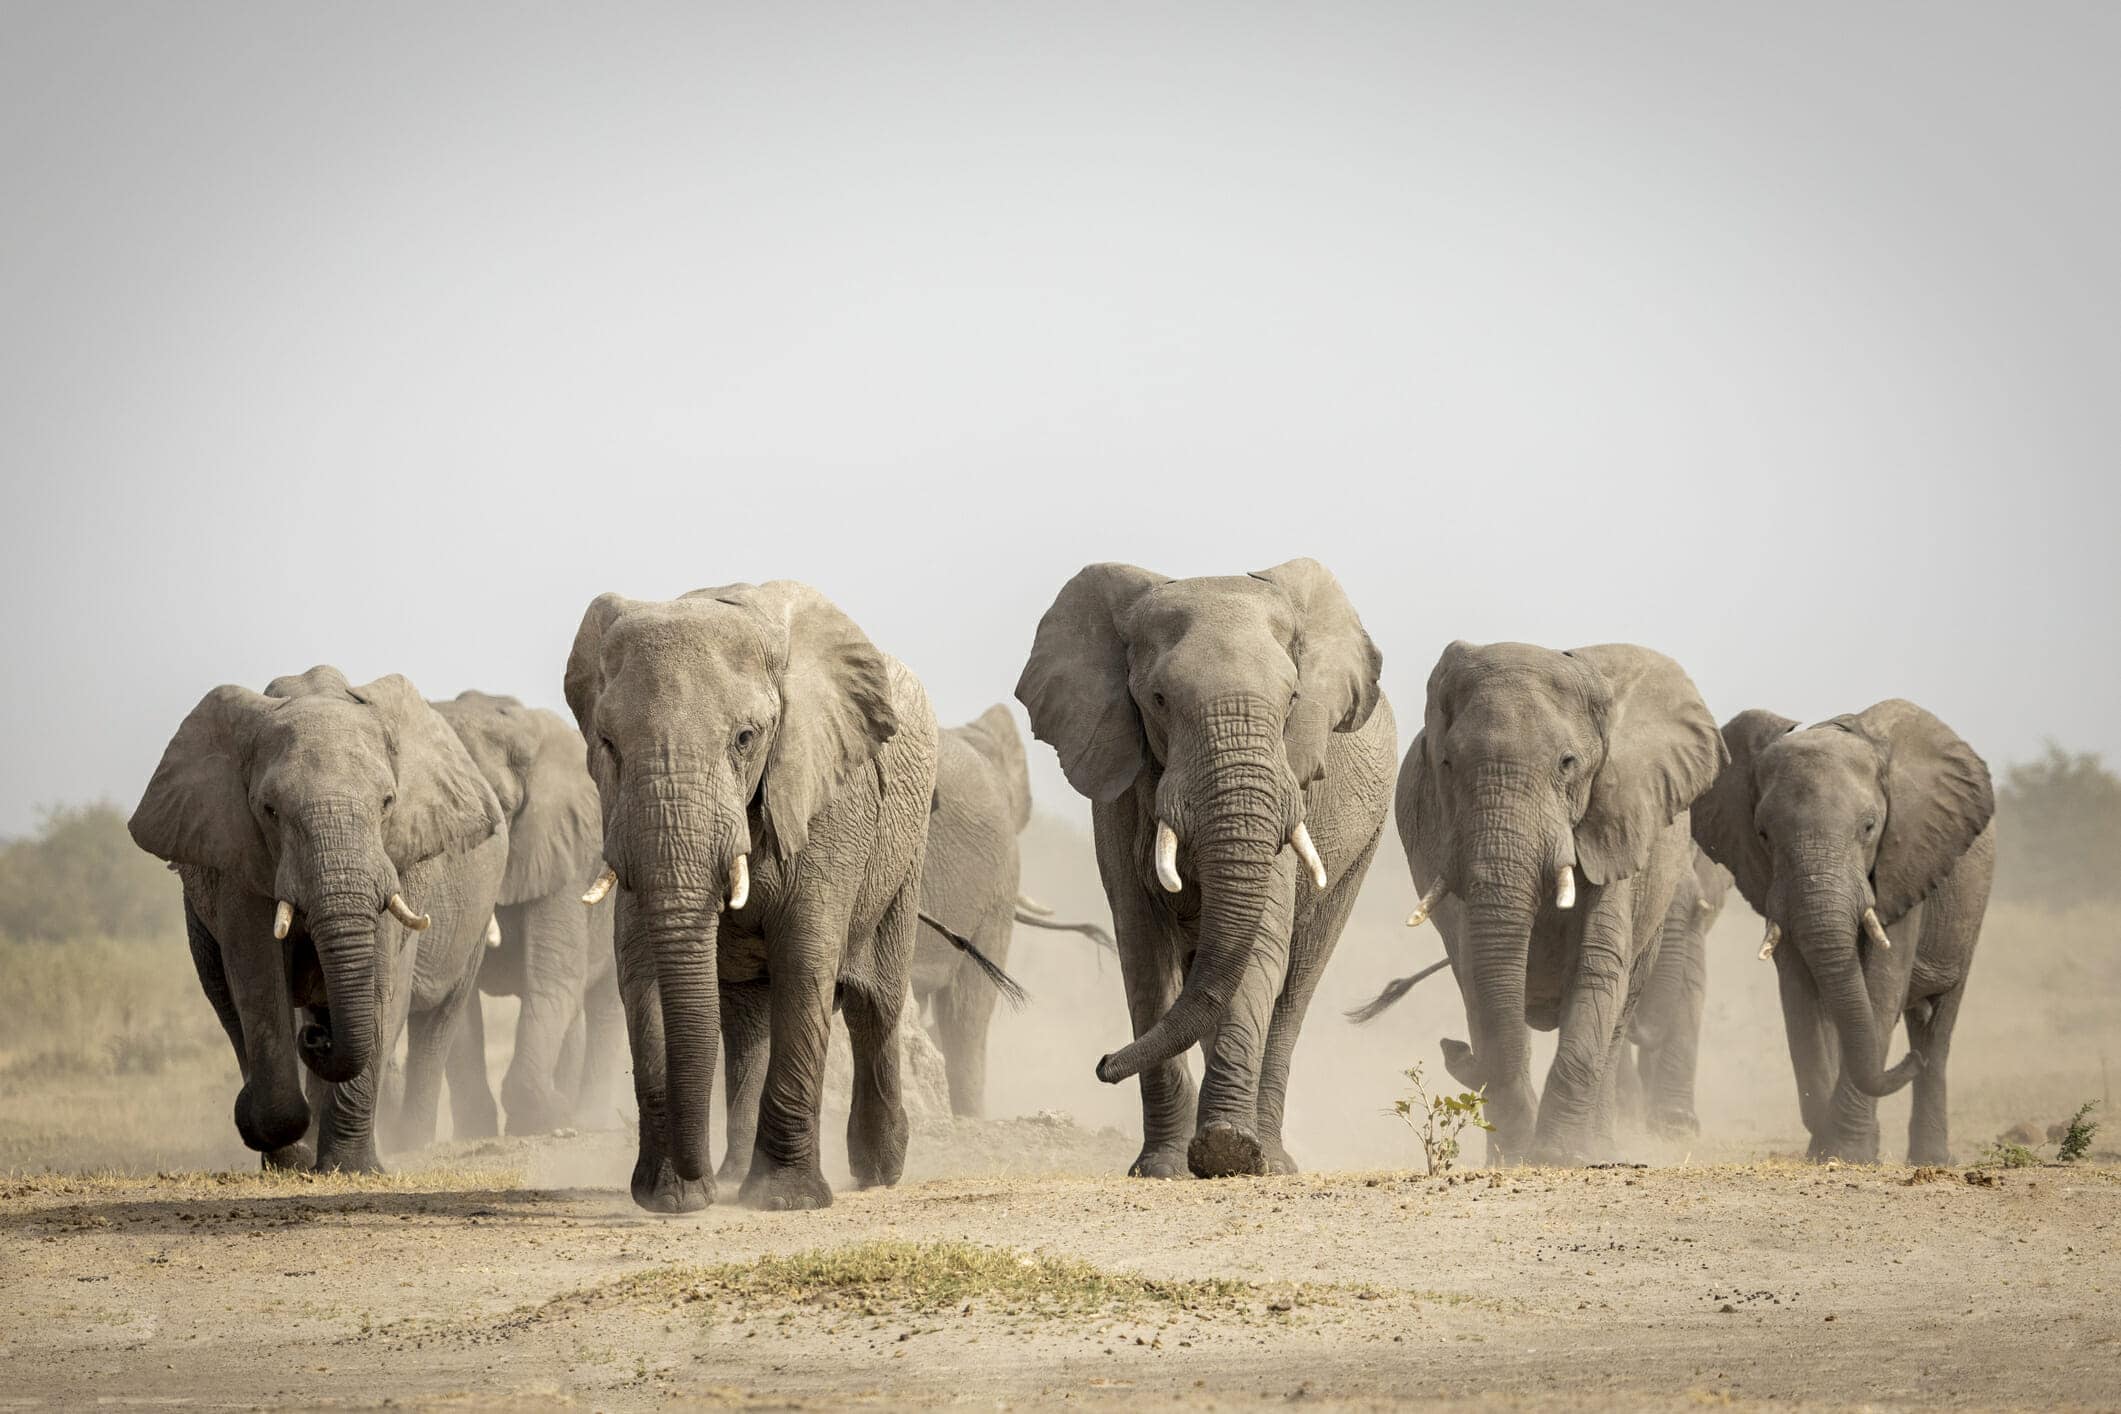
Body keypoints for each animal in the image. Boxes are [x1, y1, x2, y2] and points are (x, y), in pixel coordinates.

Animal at [128, 666, 506, 1172]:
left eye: (388, 803)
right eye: (269, 811)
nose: (318, 1039)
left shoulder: (398, 861)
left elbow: (381, 977)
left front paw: (350, 1168)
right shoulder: (239, 857)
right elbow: (257, 977)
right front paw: (283, 1143)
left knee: (438, 1016)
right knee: (226, 1000)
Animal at [431, 691, 625, 1137]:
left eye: (503, 808)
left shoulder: (565, 852)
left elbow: (554, 977)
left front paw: (549, 1116)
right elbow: (459, 1004)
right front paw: (481, 1132)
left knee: (601, 1002)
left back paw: (586, 1117)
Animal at [565, 581, 939, 1213]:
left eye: (745, 739)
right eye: (608, 744)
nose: (696, 1178)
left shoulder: (827, 800)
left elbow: (806, 961)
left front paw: (785, 1200)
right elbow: (641, 970)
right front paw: (671, 1199)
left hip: (905, 851)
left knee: (876, 1006)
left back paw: (878, 1169)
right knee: (747, 1022)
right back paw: (735, 1173)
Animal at [1015, 558, 1395, 1179]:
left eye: (1293, 698)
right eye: (1159, 700)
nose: (1102, 1064)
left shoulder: (1289, 786)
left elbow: (1261, 946)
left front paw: (1228, 1151)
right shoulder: (1120, 792)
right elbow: (1143, 952)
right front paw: (1163, 1168)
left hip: (1364, 846)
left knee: (1294, 988)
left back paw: (1274, 1158)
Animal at [1691, 702, 1996, 1165]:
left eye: (1869, 827)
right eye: (1763, 834)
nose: (1908, 1062)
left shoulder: (1904, 865)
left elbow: (1880, 987)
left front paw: (1848, 1151)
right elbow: (1801, 994)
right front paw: (1832, 1145)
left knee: (1938, 1026)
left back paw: (1930, 1153)